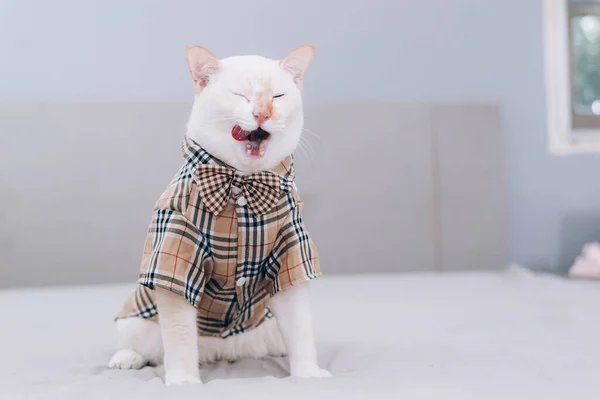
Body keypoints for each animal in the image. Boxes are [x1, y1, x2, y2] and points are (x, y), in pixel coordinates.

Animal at [110, 45, 330, 386]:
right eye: (240, 94)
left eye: (278, 96)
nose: (262, 113)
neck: (241, 181)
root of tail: (220, 353)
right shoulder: (177, 251)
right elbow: (180, 338)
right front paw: (183, 382)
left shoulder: (290, 252)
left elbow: (300, 329)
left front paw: (308, 374)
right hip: (136, 321)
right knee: (139, 343)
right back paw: (126, 357)